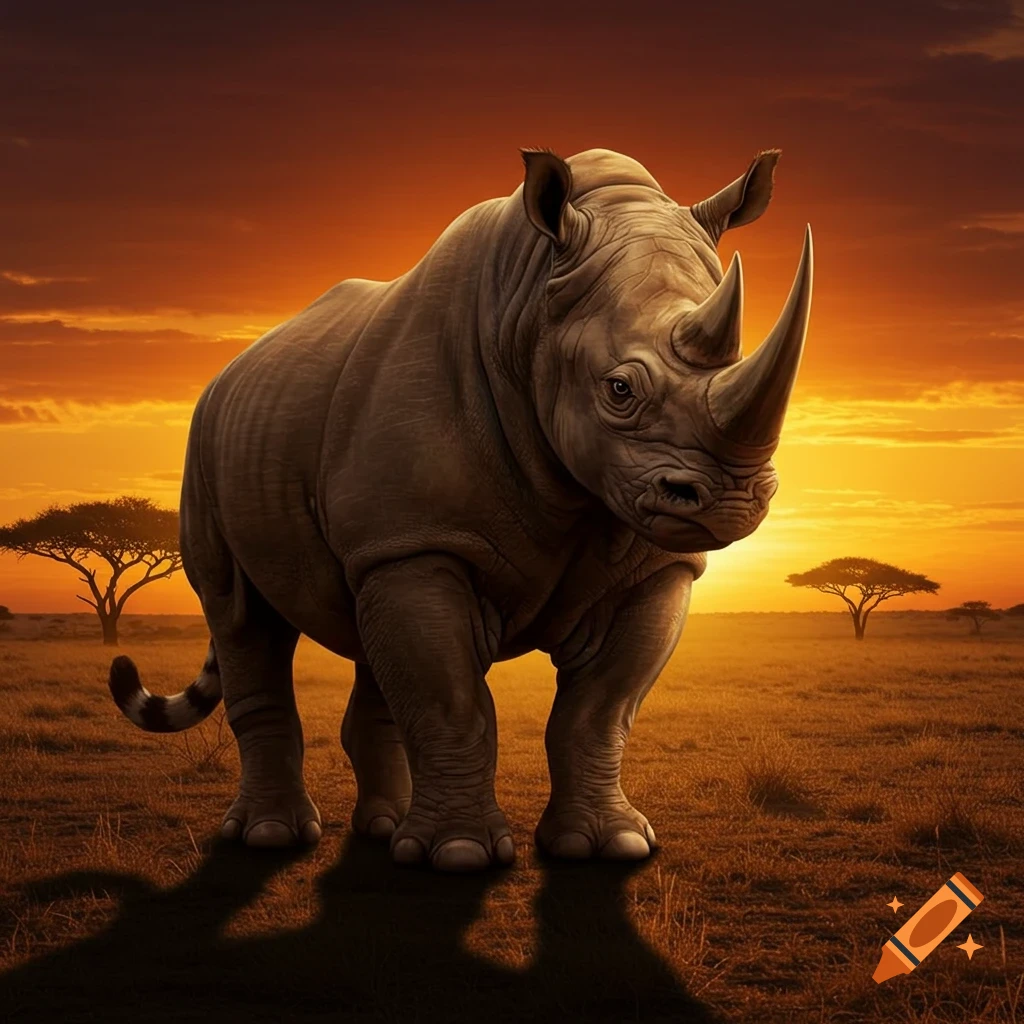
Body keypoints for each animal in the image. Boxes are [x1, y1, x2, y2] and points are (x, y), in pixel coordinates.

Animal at [109, 147, 812, 872]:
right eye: (619, 389)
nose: (731, 499)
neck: (533, 303)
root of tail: (229, 372)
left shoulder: (651, 564)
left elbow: (599, 710)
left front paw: (608, 845)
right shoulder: (422, 538)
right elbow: (450, 699)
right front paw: (460, 855)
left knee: (367, 635)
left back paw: (384, 829)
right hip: (208, 447)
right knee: (243, 617)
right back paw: (272, 836)